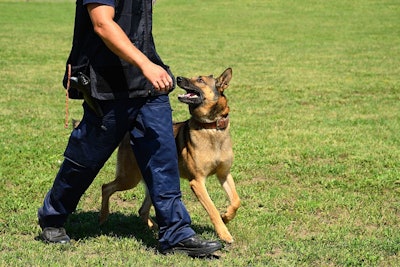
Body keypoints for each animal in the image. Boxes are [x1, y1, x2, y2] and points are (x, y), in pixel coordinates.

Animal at [99, 68, 241, 244]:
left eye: (200, 80)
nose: (178, 78)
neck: (211, 126)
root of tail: (129, 133)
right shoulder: (197, 182)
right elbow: (212, 209)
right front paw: (224, 233)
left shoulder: (224, 174)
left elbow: (236, 201)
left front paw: (226, 216)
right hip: (130, 178)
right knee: (106, 187)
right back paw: (103, 217)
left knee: (142, 210)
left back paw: (154, 228)